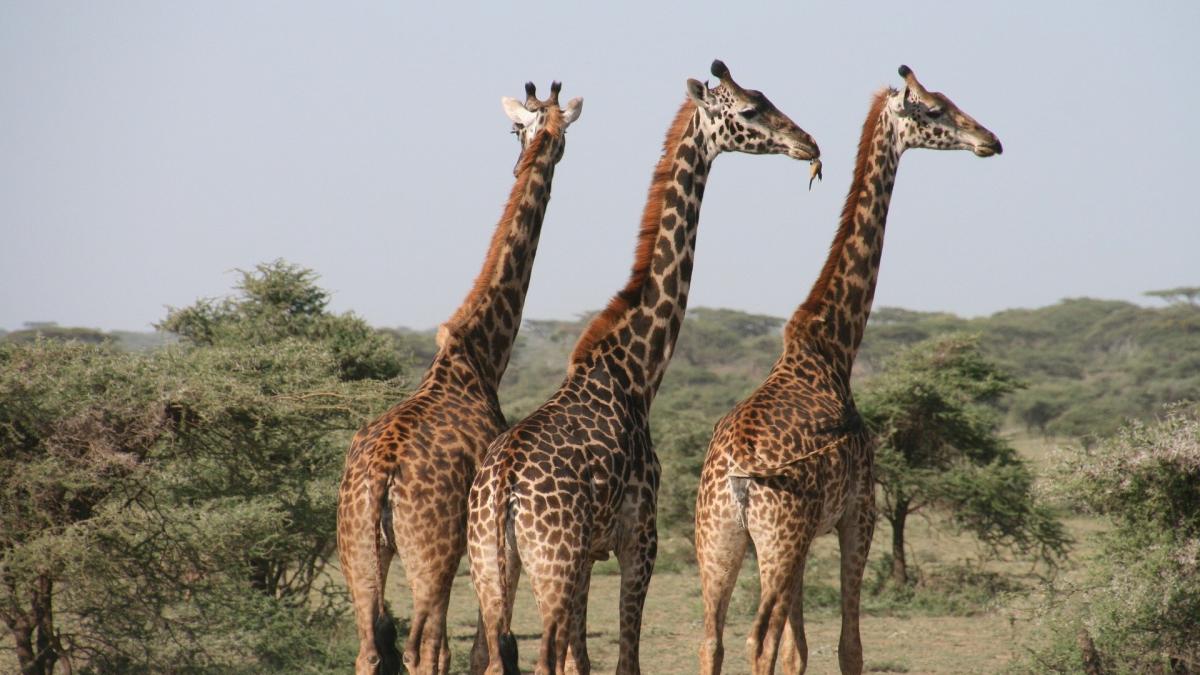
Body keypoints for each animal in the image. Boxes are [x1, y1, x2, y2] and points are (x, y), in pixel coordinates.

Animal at [337, 81, 583, 675]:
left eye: (523, 128)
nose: (533, 154)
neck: (480, 356)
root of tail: (380, 477)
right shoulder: (480, 544)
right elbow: (475, 649)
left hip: (356, 549)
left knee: (369, 649)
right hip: (431, 552)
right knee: (422, 647)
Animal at [467, 60, 820, 675]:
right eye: (750, 110)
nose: (808, 144)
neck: (636, 369)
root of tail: (502, 489)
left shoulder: (591, 552)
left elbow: (583, 660)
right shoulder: (641, 537)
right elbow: (624, 657)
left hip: (492, 566)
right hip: (551, 563)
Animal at [693, 65, 1003, 675]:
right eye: (934, 109)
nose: (990, 140)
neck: (833, 348)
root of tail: (737, 477)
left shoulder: (813, 531)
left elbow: (800, 651)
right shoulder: (858, 514)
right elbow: (847, 646)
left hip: (719, 540)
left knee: (712, 639)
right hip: (778, 536)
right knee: (756, 640)